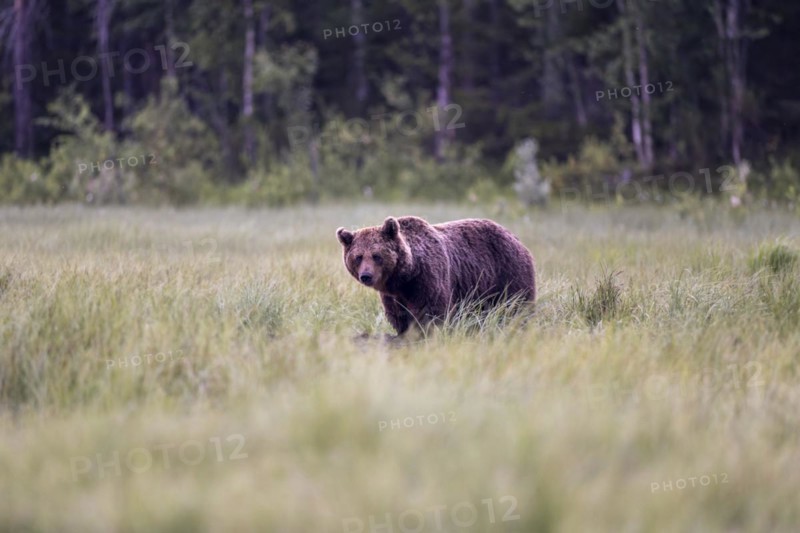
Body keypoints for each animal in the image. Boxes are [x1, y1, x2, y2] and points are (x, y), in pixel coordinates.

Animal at [336, 216, 536, 335]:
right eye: (358, 257)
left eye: (376, 255)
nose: (366, 275)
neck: (405, 277)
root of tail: (515, 237)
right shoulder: (393, 296)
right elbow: (400, 317)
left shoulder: (429, 280)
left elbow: (432, 313)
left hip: (508, 272)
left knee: (517, 306)